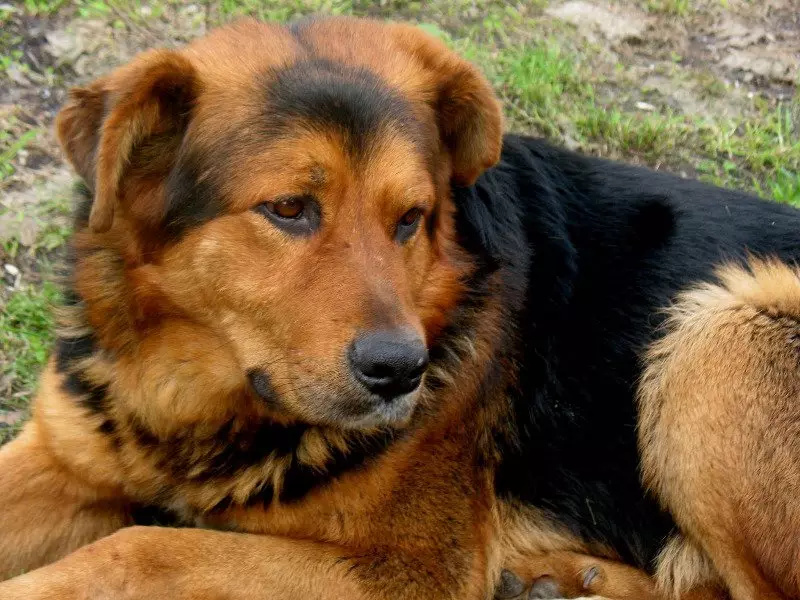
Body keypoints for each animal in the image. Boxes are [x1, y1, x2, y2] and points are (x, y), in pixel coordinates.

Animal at [1, 14, 800, 600]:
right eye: (288, 209)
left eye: (410, 218)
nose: (400, 373)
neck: (194, 397)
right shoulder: (61, 453)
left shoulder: (406, 570)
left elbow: (141, 548)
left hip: (724, 328)